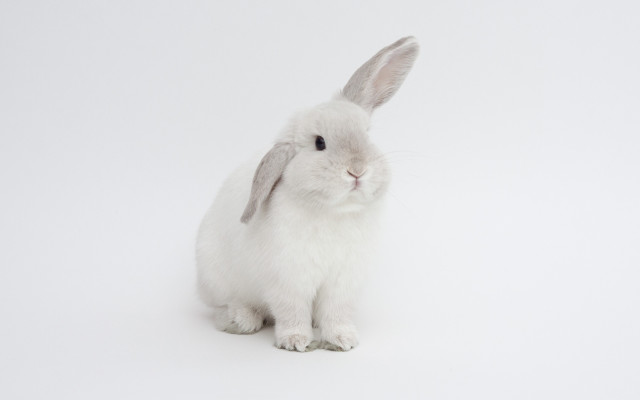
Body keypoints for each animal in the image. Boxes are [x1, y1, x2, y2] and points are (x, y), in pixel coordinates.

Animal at [196, 36, 419, 352]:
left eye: (367, 134)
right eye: (319, 142)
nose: (357, 170)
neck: (334, 212)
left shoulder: (343, 282)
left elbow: (336, 312)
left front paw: (342, 340)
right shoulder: (288, 280)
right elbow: (291, 311)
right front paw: (296, 341)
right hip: (218, 281)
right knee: (222, 309)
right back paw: (242, 319)